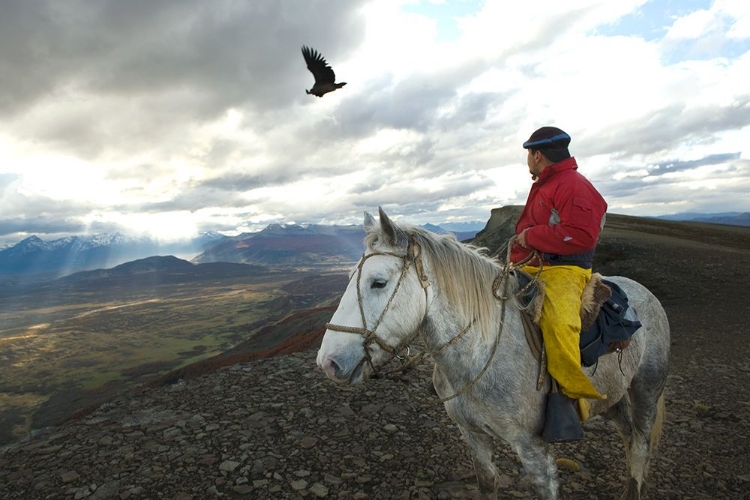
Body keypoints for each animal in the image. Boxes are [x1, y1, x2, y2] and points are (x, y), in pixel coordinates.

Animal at [316, 208, 668, 500]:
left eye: (379, 282)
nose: (327, 363)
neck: (479, 356)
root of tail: (643, 292)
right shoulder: (472, 435)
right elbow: (487, 482)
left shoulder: (535, 449)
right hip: (613, 396)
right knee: (628, 436)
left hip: (646, 390)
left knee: (639, 445)